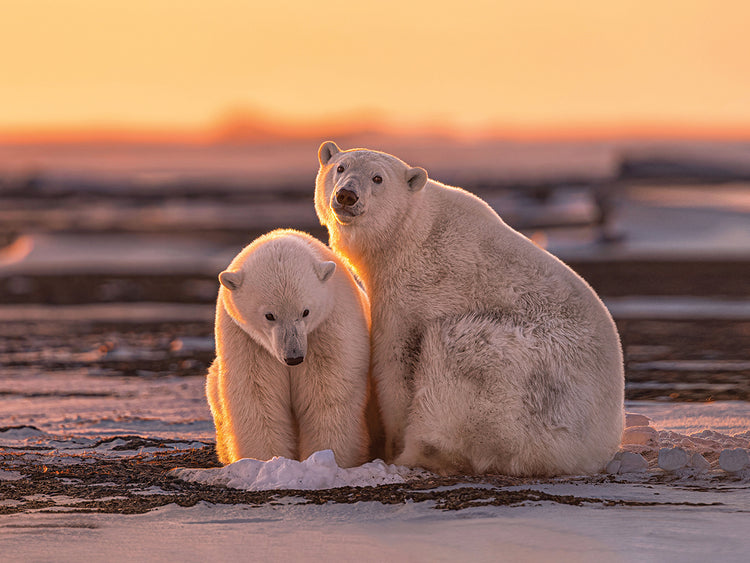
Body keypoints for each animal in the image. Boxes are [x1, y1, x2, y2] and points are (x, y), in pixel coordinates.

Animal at [206, 228, 372, 468]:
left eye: (305, 311)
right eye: (269, 315)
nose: (294, 357)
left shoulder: (328, 328)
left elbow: (328, 391)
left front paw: (330, 458)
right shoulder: (246, 340)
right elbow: (257, 394)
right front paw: (267, 460)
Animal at [315, 141, 625, 476]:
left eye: (377, 178)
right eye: (340, 167)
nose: (347, 195)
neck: (411, 235)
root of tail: (596, 449)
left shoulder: (416, 290)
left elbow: (395, 363)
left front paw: (391, 447)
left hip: (529, 385)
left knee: (459, 351)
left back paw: (418, 453)